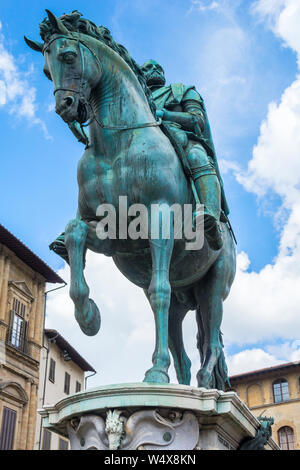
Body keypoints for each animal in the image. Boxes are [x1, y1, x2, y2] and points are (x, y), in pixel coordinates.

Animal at [25, 10, 237, 390]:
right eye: (47, 71)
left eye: (68, 56)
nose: (65, 107)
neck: (117, 145)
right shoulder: (112, 235)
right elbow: (75, 234)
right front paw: (89, 316)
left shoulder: (160, 219)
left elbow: (159, 290)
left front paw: (155, 372)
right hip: (185, 297)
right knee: (183, 347)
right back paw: (181, 382)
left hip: (215, 284)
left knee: (210, 338)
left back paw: (207, 386)